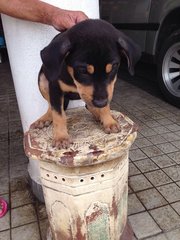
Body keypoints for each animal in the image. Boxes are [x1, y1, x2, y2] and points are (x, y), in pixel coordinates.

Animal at [34, 19, 141, 148]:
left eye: (114, 67)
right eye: (83, 70)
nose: (100, 103)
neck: (73, 79)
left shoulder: (108, 88)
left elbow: (105, 105)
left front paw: (108, 121)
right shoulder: (55, 87)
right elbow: (58, 114)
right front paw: (61, 137)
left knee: (87, 105)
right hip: (42, 80)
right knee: (52, 105)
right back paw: (45, 118)